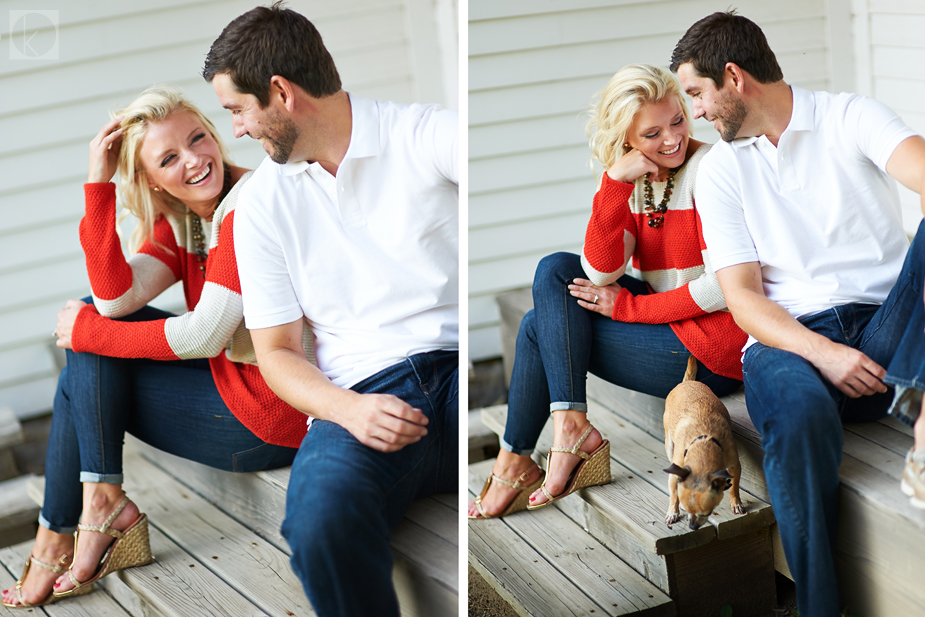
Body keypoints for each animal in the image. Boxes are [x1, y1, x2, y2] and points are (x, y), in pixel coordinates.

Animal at [664, 356, 744, 528]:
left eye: (706, 513)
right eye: (688, 510)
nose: (692, 526)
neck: (704, 445)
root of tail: (687, 382)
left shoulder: (734, 466)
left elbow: (734, 487)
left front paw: (736, 503)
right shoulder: (676, 471)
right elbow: (674, 494)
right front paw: (673, 511)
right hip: (669, 444)